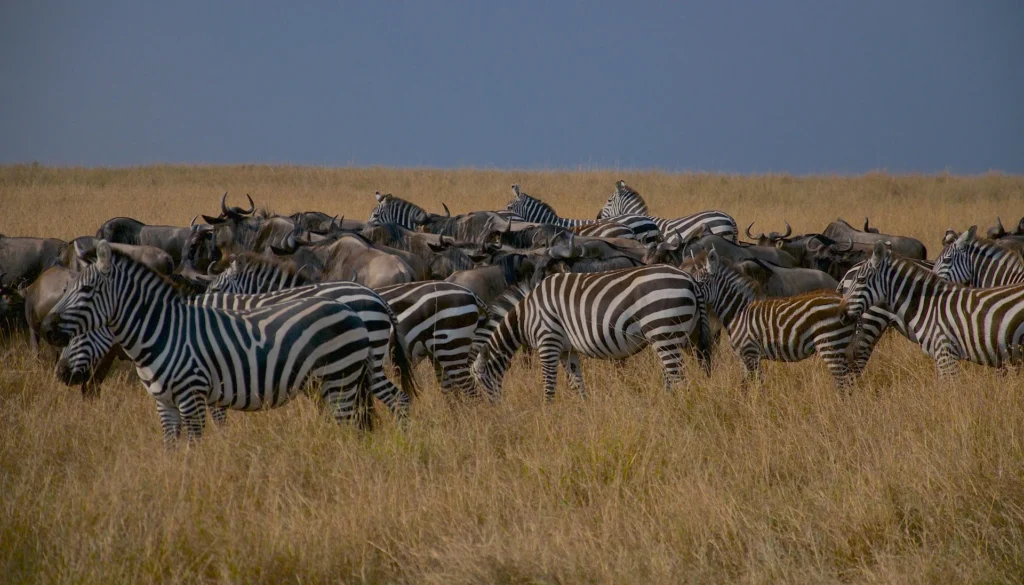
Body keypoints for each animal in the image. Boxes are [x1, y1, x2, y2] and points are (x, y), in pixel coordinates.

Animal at [41, 242, 379, 442]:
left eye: (86, 292)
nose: (61, 374)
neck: (163, 331)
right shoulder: (170, 401)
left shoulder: (195, 394)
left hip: (340, 379)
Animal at [471, 264, 712, 400]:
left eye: (480, 381)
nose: (490, 411)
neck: (524, 317)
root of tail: (691, 280)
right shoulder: (567, 351)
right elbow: (576, 384)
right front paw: (582, 412)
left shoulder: (548, 341)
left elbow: (549, 384)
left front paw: (547, 414)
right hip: (686, 337)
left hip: (663, 332)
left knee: (679, 380)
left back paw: (677, 407)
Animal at [686, 248, 865, 388]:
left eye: (699, 283)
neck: (739, 311)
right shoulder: (744, 356)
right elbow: (745, 386)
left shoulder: (751, 353)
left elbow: (757, 385)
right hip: (840, 346)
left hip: (830, 344)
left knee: (843, 382)